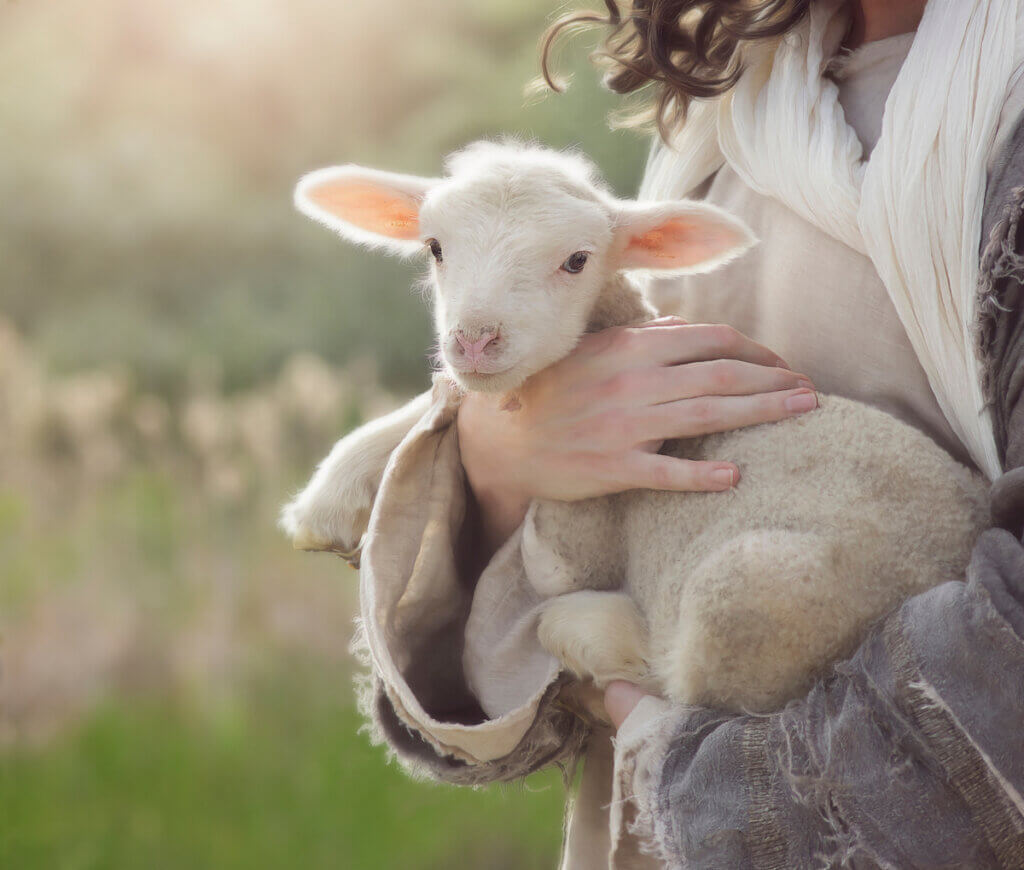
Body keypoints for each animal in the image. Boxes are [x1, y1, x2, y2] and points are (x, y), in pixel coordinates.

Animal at [282, 140, 991, 712]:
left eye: (577, 261)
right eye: (434, 248)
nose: (475, 340)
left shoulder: (578, 534)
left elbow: (549, 555)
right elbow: (448, 402)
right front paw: (330, 496)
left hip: (761, 594)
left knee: (694, 689)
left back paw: (588, 630)